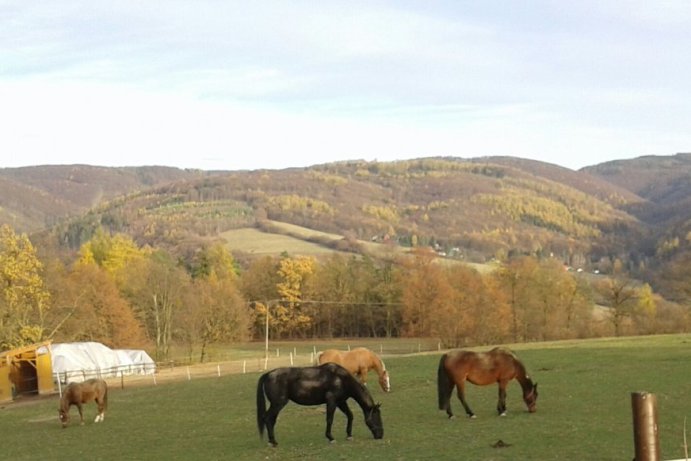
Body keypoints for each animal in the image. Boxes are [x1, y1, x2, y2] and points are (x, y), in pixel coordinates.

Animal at [256, 362, 384, 444]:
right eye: (376, 416)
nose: (381, 435)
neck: (342, 379)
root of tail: (269, 374)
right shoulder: (332, 401)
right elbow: (329, 419)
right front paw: (331, 438)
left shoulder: (341, 402)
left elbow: (350, 415)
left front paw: (349, 435)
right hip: (278, 404)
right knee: (267, 418)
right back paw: (273, 441)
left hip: (276, 405)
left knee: (271, 420)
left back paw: (271, 440)